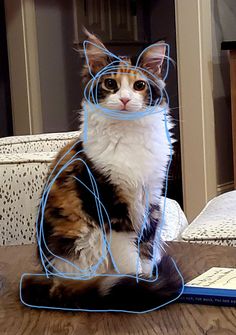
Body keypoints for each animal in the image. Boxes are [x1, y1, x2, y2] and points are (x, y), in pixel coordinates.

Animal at [21, 30, 181, 314]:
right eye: (110, 84)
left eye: (139, 85)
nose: (125, 99)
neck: (129, 137)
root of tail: (52, 276)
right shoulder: (110, 205)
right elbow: (127, 254)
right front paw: (137, 284)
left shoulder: (149, 198)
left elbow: (146, 247)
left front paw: (147, 276)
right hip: (83, 244)